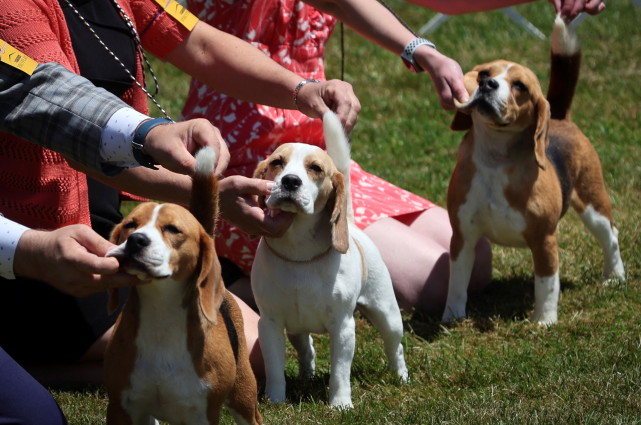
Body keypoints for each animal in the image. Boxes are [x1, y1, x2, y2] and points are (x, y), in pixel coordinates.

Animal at [104, 147, 262, 422]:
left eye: (172, 229)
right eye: (130, 225)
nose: (136, 240)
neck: (161, 312)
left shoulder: (203, 414)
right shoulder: (120, 407)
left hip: (243, 393)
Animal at [251, 110, 408, 408]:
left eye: (316, 168)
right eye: (277, 162)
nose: (290, 181)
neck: (299, 250)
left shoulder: (344, 327)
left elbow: (340, 372)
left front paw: (341, 404)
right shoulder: (270, 324)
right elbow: (275, 369)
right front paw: (275, 400)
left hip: (388, 315)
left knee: (396, 346)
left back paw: (402, 376)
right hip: (296, 330)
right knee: (307, 350)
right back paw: (305, 377)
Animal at [442, 15, 624, 324]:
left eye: (520, 86)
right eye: (484, 73)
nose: (487, 84)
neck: (496, 159)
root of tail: (560, 117)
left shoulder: (544, 239)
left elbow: (547, 284)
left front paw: (544, 321)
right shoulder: (463, 235)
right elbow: (456, 282)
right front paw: (452, 317)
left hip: (592, 203)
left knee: (610, 235)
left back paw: (615, 277)